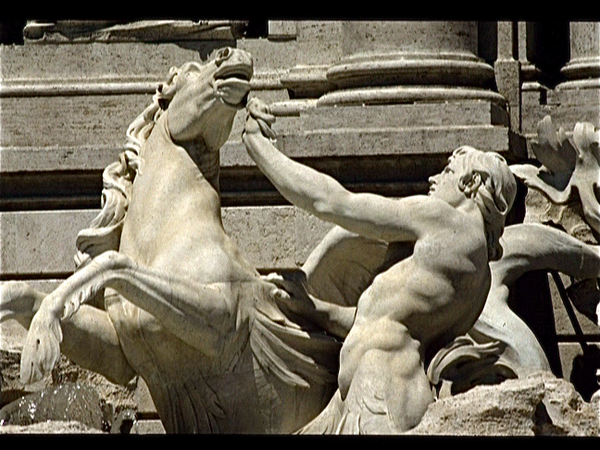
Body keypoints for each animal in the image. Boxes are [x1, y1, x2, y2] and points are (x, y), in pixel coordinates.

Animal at [0, 47, 340, 434]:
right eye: (186, 75)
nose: (233, 53)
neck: (167, 231)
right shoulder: (121, 352)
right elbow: (22, 291)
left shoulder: (223, 318)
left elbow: (113, 263)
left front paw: (39, 341)